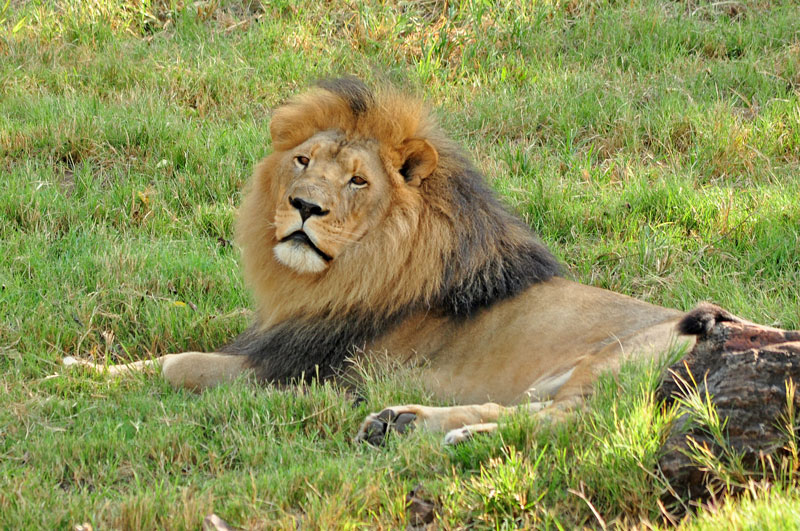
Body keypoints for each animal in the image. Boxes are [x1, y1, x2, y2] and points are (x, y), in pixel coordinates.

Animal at [65, 78, 696, 444]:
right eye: (302, 160)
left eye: (357, 180)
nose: (304, 206)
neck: (339, 276)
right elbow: (165, 354)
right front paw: (82, 367)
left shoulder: (291, 373)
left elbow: (176, 364)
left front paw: (70, 377)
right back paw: (407, 424)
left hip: (615, 363)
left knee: (580, 422)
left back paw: (447, 433)